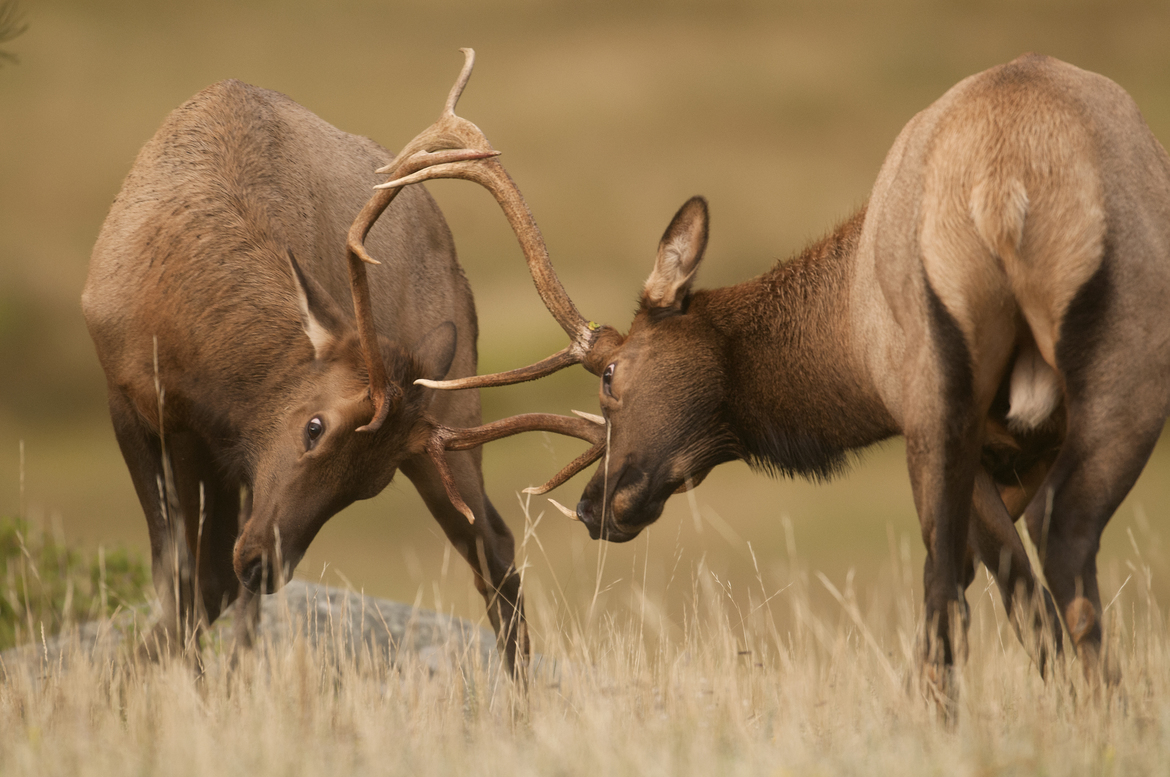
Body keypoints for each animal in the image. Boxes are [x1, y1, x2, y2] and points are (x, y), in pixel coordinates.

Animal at [81, 50, 607, 677]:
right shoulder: (134, 402)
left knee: (493, 545)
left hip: (453, 410)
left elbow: (193, 581)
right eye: (315, 426)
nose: (265, 567)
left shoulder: (220, 446)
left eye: (369, 485)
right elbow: (176, 574)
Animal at [389, 53, 1170, 705]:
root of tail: (1008, 184)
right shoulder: (1018, 453)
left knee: (958, 576)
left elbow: (1000, 590)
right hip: (1129, 371)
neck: (847, 346)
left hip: (945, 396)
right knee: (1064, 548)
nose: (590, 504)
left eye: (611, 373)